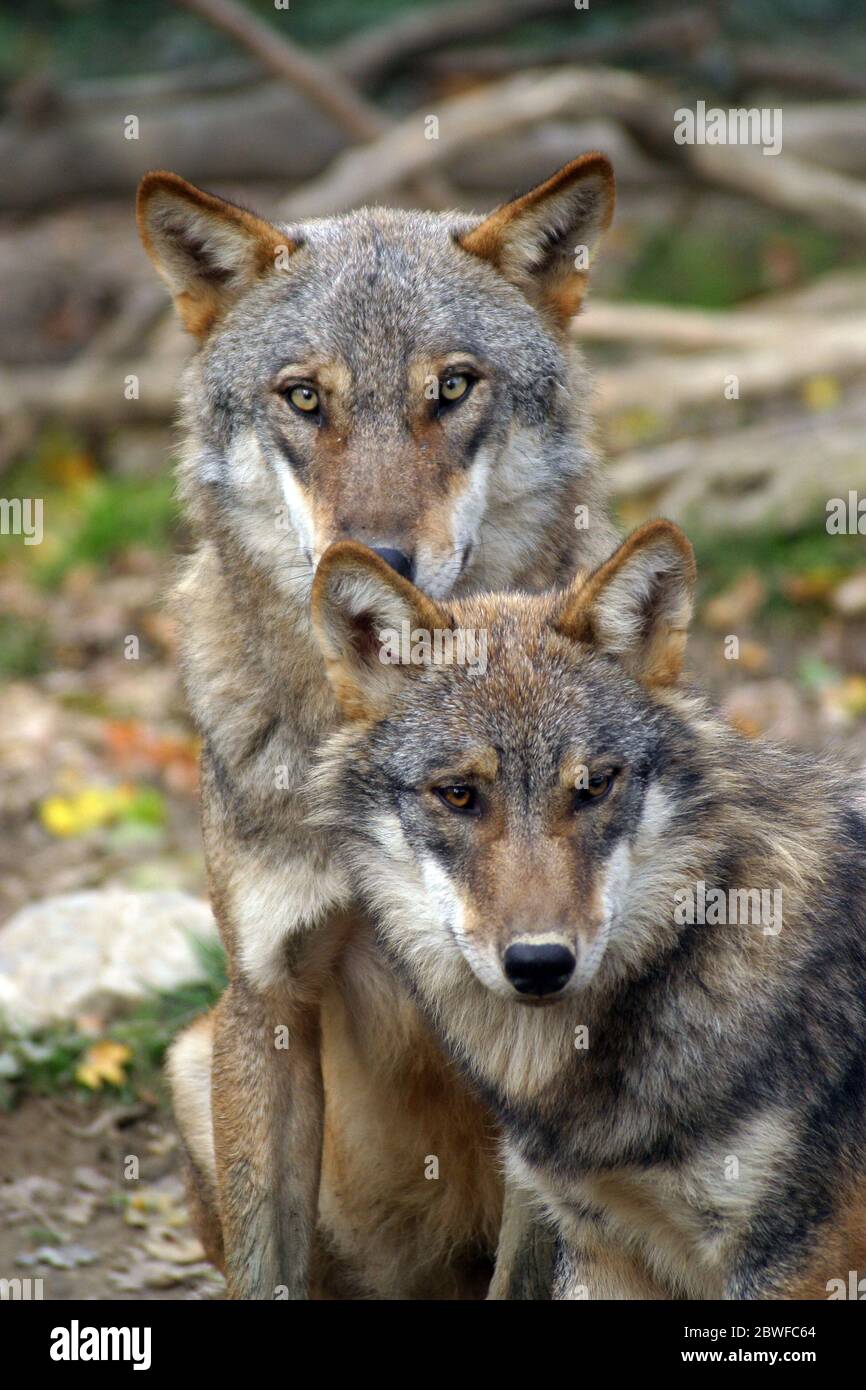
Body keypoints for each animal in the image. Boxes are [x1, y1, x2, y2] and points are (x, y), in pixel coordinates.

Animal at [136, 154, 617, 1301]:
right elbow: (263, 1268)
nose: (377, 560)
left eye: (451, 388)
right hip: (193, 1051)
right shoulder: (268, 1003)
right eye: (305, 397)